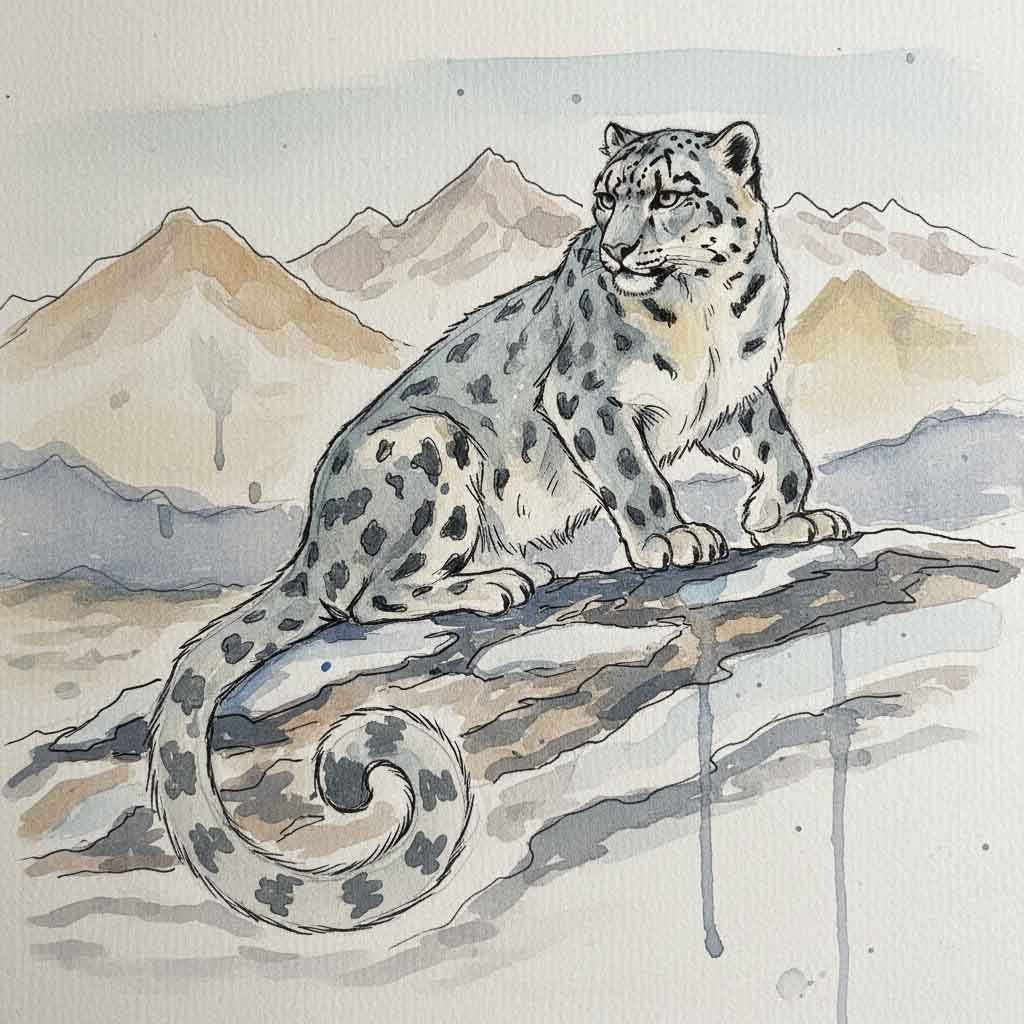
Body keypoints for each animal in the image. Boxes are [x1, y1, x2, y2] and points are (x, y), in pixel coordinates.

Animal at [150, 120, 850, 932]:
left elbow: (782, 449)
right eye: (606, 197)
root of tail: (314, 540)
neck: (705, 313)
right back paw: (495, 583)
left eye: (669, 195)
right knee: (366, 596)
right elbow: (634, 473)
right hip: (430, 449)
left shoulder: (736, 393)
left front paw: (786, 517)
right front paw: (673, 537)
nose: (617, 250)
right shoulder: (586, 397)